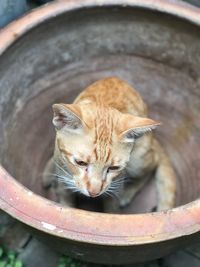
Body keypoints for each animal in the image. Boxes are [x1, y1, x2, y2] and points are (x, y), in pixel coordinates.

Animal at [43, 77, 177, 214]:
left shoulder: (115, 187)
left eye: (113, 168)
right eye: (81, 163)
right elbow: (66, 202)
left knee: (153, 163)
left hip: (138, 160)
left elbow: (112, 209)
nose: (94, 192)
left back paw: (128, 192)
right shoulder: (62, 177)